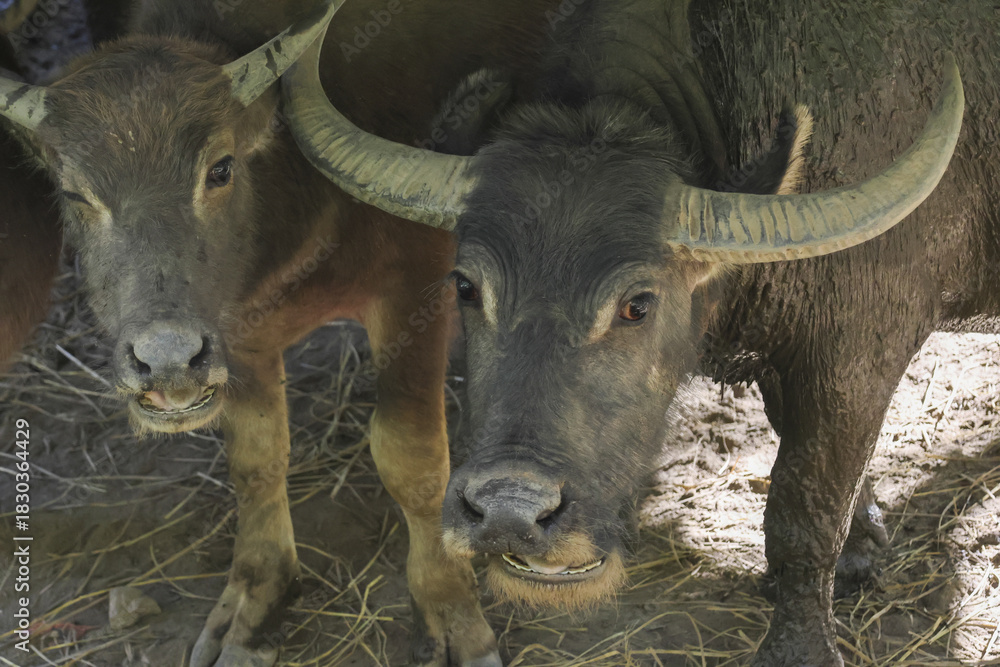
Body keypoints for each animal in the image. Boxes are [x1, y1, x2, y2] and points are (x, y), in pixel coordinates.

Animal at [0, 0, 559, 664]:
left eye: (219, 169)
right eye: (72, 192)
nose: (166, 361)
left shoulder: (414, 283)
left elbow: (413, 459)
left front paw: (451, 611)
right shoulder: (239, 330)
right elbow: (256, 459)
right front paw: (254, 604)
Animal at [281, 0, 997, 664]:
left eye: (636, 306)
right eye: (465, 287)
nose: (510, 514)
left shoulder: (855, 355)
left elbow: (803, 508)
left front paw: (800, 645)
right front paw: (858, 554)